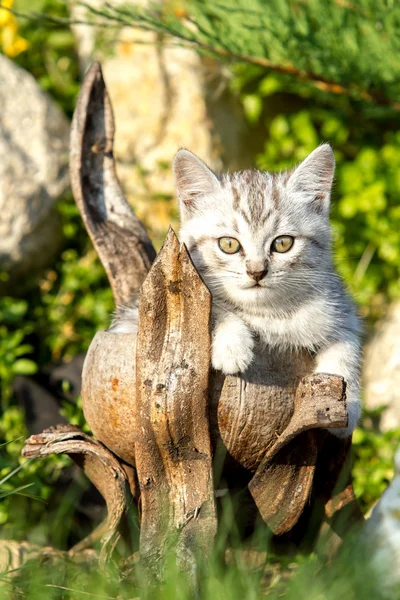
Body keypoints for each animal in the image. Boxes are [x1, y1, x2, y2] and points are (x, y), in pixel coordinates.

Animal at [110, 144, 362, 436]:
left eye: (283, 243)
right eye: (228, 244)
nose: (257, 271)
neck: (268, 314)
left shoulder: (340, 307)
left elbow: (346, 344)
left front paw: (347, 404)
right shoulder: (140, 321)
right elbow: (208, 310)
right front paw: (233, 344)